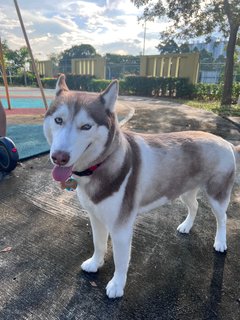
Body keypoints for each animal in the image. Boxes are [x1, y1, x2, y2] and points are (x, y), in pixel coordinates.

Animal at [44, 74, 239, 298]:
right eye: (58, 120)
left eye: (86, 126)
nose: (59, 157)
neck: (100, 165)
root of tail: (226, 142)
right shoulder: (95, 216)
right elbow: (98, 244)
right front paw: (95, 263)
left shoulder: (121, 227)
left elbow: (121, 260)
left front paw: (117, 285)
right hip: (185, 190)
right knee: (195, 206)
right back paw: (186, 226)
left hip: (217, 194)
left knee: (222, 217)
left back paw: (221, 242)